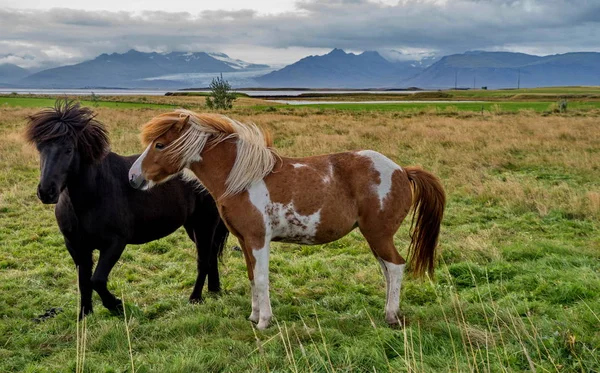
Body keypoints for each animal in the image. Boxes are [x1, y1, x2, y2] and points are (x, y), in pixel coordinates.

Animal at [25, 100, 230, 318]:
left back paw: (195, 298)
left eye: (69, 150)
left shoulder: (115, 243)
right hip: (193, 226)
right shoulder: (76, 246)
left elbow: (96, 280)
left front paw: (116, 305)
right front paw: (85, 315)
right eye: (40, 148)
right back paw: (214, 290)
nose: (46, 192)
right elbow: (84, 281)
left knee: (204, 260)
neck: (91, 196)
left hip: (204, 224)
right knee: (211, 255)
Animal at [130, 109, 446, 328]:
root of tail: (403, 170)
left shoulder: (259, 240)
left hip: (379, 235)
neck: (242, 179)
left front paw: (264, 321)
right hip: (375, 238)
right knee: (387, 270)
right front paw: (253, 315)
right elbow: (251, 277)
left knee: (395, 267)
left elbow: (261, 278)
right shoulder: (245, 241)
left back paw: (391, 316)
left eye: (159, 145)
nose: (133, 178)